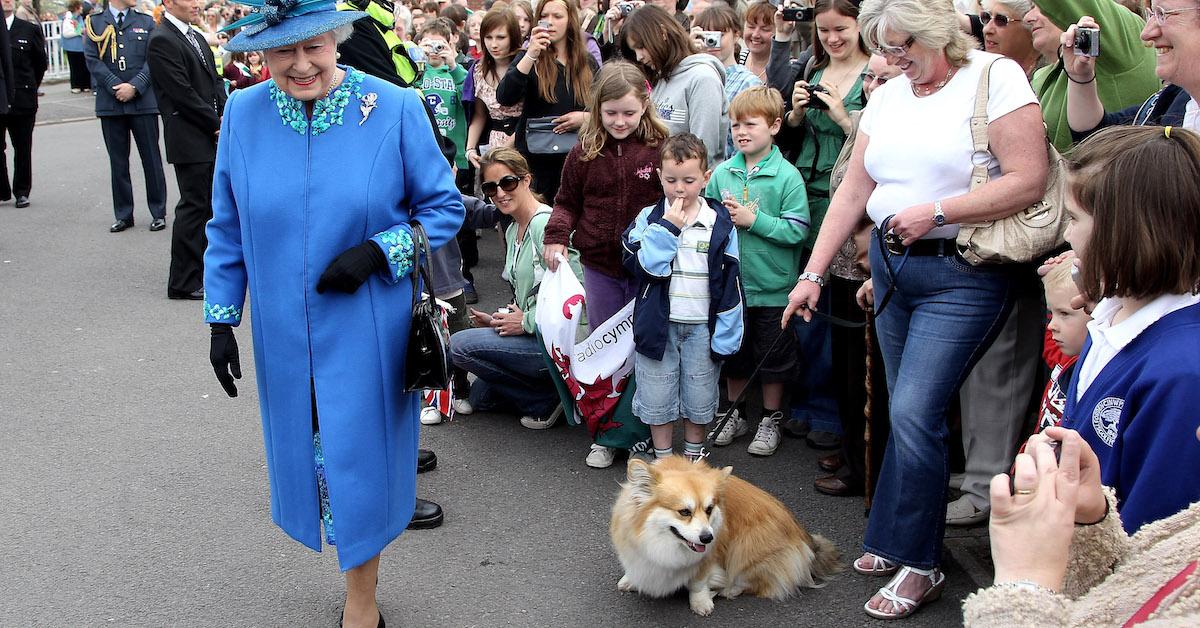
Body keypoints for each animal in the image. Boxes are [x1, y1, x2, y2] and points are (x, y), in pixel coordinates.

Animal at [614, 453, 840, 614]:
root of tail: (807, 542)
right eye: (684, 512)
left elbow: (698, 583)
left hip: (745, 548)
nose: (708, 538)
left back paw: (727, 590)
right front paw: (631, 580)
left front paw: (701, 603)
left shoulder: (708, 560)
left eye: (709, 509)